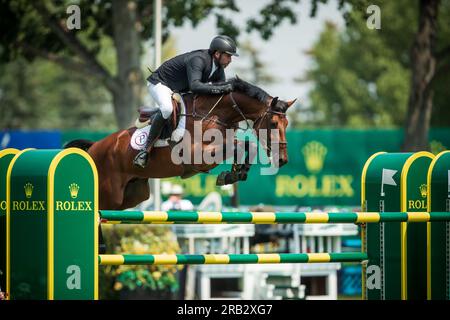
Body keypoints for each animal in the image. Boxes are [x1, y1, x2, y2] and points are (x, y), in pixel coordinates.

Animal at [65, 79, 294, 211]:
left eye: (287, 124)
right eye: (274, 123)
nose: (283, 160)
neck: (213, 114)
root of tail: (95, 147)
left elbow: (245, 146)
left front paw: (235, 173)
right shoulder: (198, 155)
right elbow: (238, 145)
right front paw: (232, 173)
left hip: (132, 195)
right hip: (109, 193)